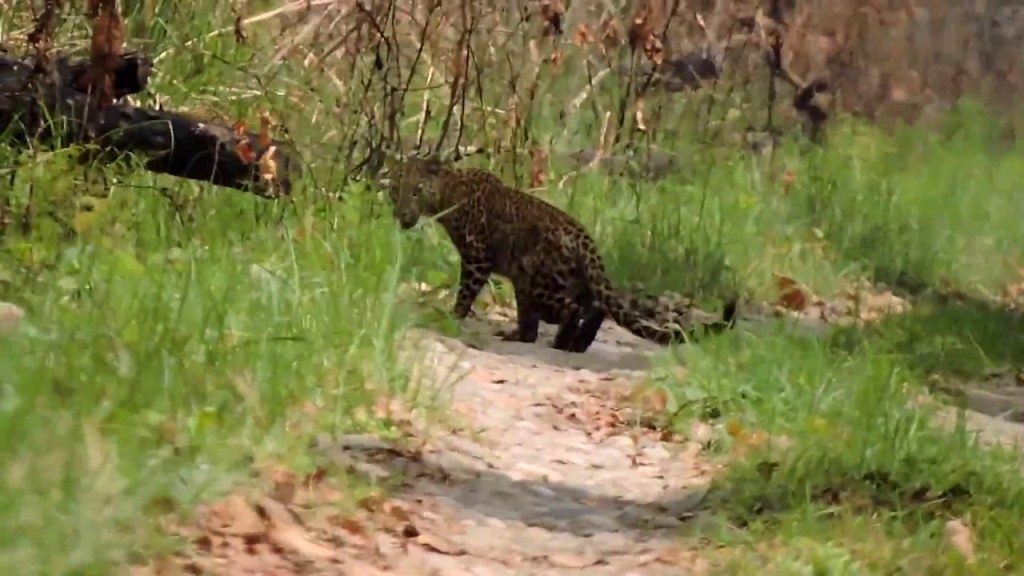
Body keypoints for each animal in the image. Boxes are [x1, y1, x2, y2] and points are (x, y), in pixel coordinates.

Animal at [385, 154, 737, 352]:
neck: (449, 194)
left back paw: (561, 342)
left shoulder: (476, 258)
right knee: (589, 309)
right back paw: (560, 342)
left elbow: (464, 293)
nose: (401, 213)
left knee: (571, 309)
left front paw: (452, 316)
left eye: (415, 191)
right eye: (395, 191)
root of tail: (586, 241)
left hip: (543, 283)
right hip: (541, 283)